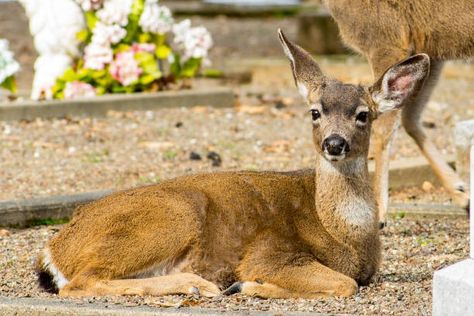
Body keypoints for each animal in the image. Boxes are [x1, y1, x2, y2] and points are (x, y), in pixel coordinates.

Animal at [37, 31, 430, 298]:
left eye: (363, 115)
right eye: (315, 112)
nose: (335, 143)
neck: (347, 235)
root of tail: (54, 250)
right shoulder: (269, 253)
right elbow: (345, 283)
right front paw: (248, 285)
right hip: (175, 215)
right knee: (81, 282)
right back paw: (200, 285)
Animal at [324, 0, 474, 223]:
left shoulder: (386, 39)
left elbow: (382, 123)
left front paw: (379, 214)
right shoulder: (429, 47)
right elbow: (409, 118)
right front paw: (463, 195)